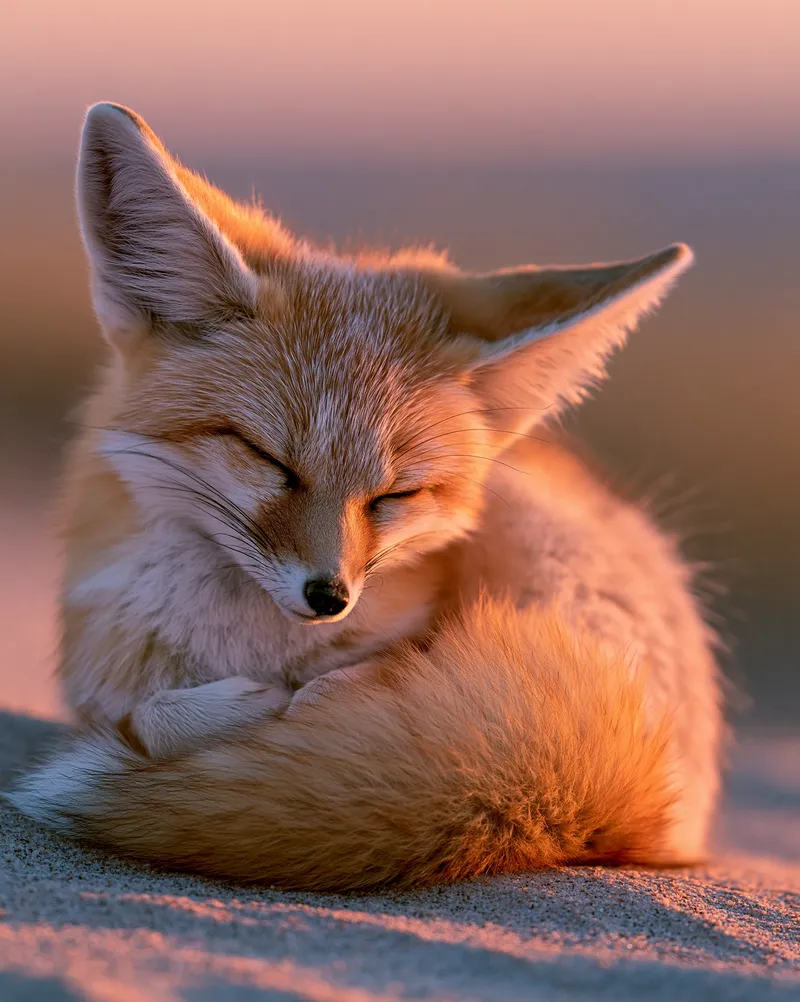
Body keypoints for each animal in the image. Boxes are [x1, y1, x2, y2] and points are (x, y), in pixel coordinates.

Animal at [9, 103, 722, 890]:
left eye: (395, 495)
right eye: (269, 460)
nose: (330, 597)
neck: (249, 645)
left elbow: (328, 697)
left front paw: (291, 712)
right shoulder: (104, 677)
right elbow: (151, 715)